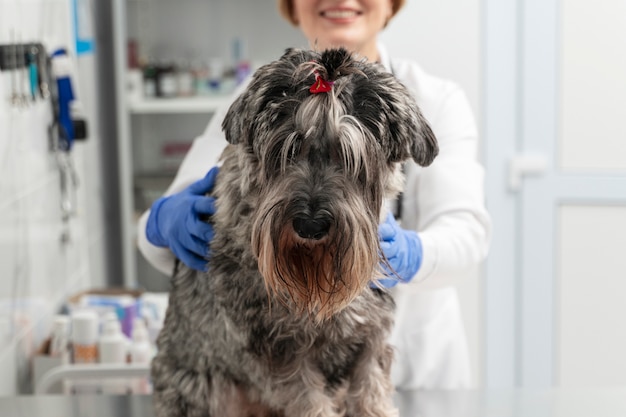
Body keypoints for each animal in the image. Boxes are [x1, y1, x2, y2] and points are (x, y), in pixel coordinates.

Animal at [151, 46, 436, 416]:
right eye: (286, 151)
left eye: (350, 157)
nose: (310, 225)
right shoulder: (280, 347)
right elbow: (309, 401)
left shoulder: (369, 338)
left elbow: (371, 395)